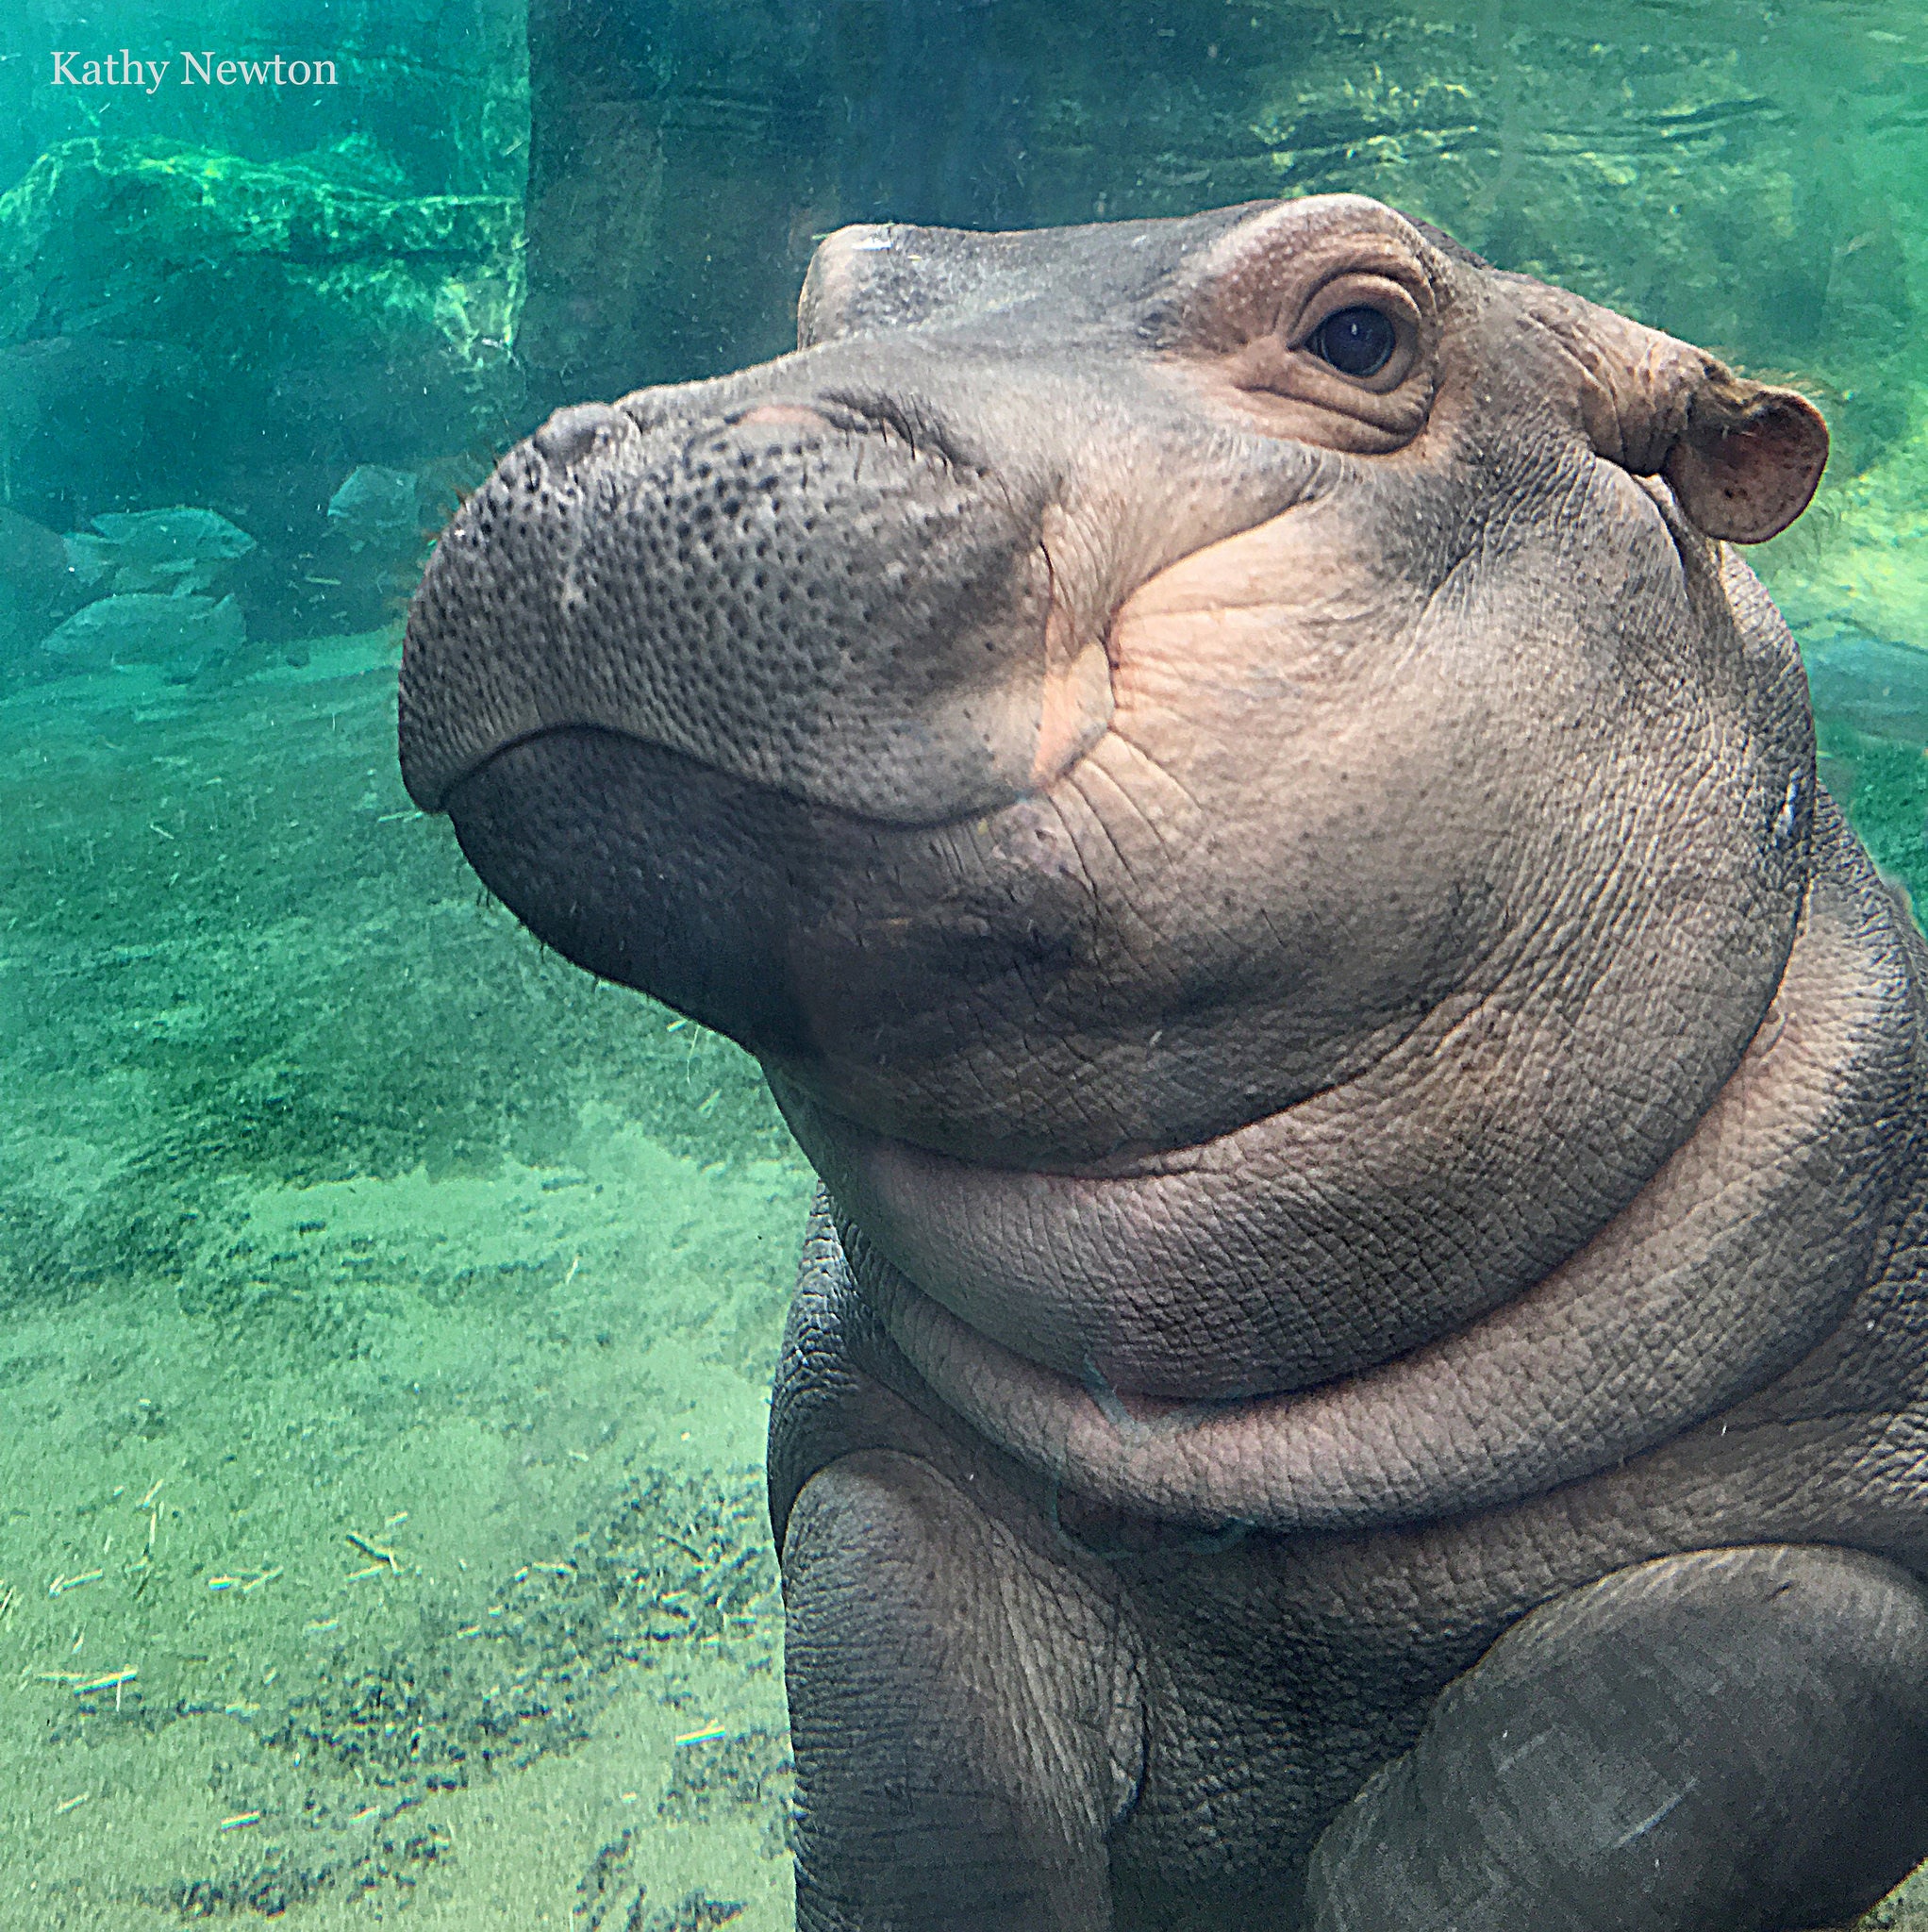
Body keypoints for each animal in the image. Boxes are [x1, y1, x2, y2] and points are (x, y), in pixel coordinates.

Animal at [397, 194, 1928, 1930]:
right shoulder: (879, 1483)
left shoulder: (1858, 1569)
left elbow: (1606, 1770)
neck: (1268, 1447)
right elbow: (931, 1783)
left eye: (1359, 330)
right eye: (827, 283)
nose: (620, 447)